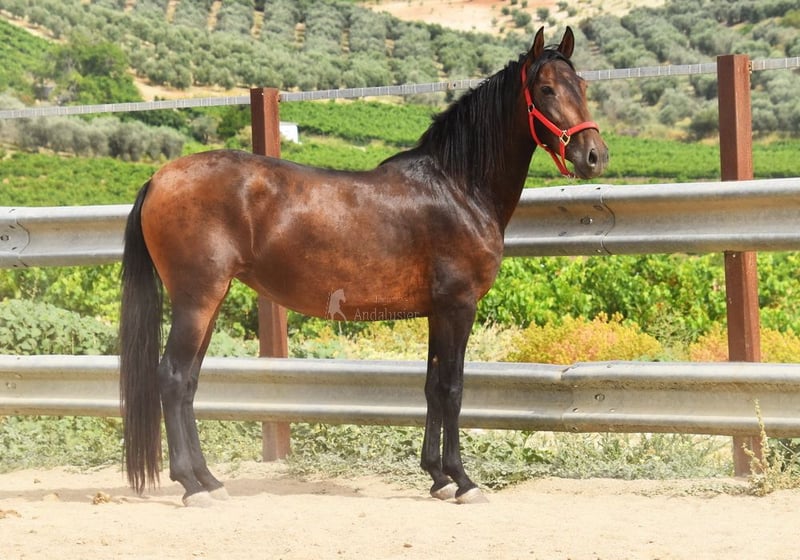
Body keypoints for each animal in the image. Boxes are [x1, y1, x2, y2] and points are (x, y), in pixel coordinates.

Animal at [119, 26, 608, 507]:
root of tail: (158, 178)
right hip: (197, 300)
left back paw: (209, 480)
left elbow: (432, 387)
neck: (457, 186)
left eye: (582, 87)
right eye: (546, 89)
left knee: (188, 383)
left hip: (209, 301)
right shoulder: (458, 307)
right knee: (172, 378)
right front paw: (463, 481)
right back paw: (192, 485)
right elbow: (453, 389)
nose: (595, 156)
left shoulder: (436, 312)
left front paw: (437, 477)